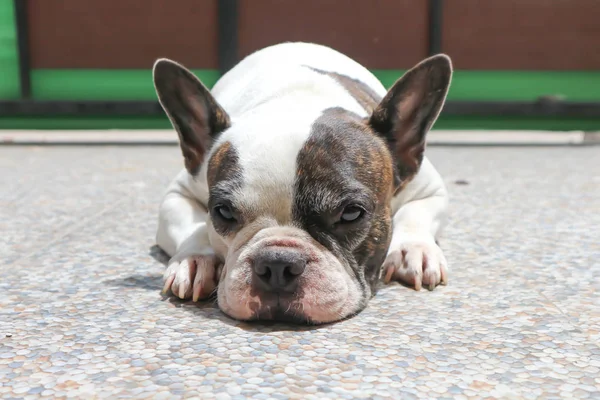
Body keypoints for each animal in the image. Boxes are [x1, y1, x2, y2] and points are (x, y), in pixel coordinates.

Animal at [154, 43, 450, 324]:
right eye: (223, 212)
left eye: (351, 213)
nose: (276, 264)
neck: (296, 100)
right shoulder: (178, 193)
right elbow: (193, 228)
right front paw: (194, 260)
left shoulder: (430, 189)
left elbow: (415, 214)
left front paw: (414, 250)